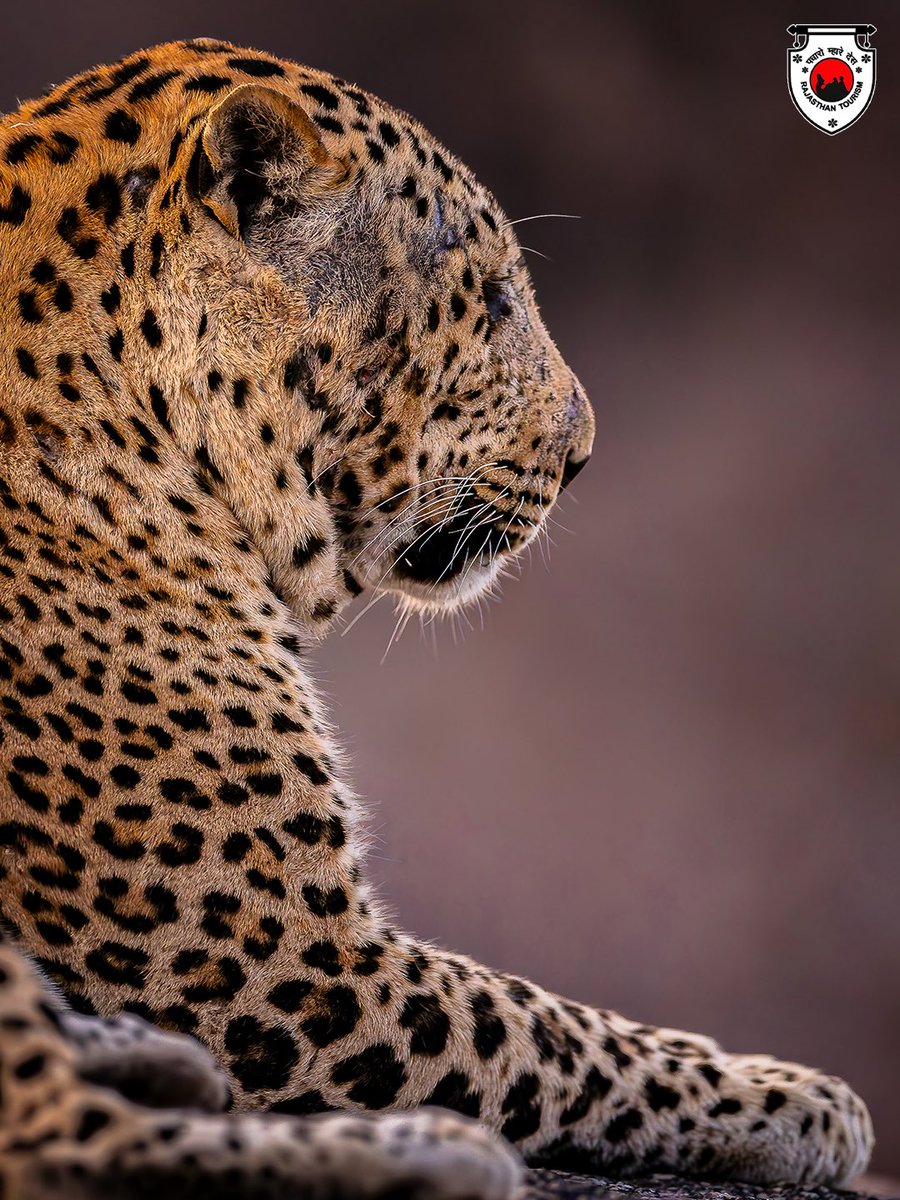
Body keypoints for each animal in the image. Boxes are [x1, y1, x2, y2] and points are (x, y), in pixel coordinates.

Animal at [0, 37, 873, 1194]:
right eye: (492, 299)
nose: (585, 450)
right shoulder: (271, 959)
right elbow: (548, 1027)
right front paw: (791, 1097)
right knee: (62, 1139)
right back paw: (433, 1154)